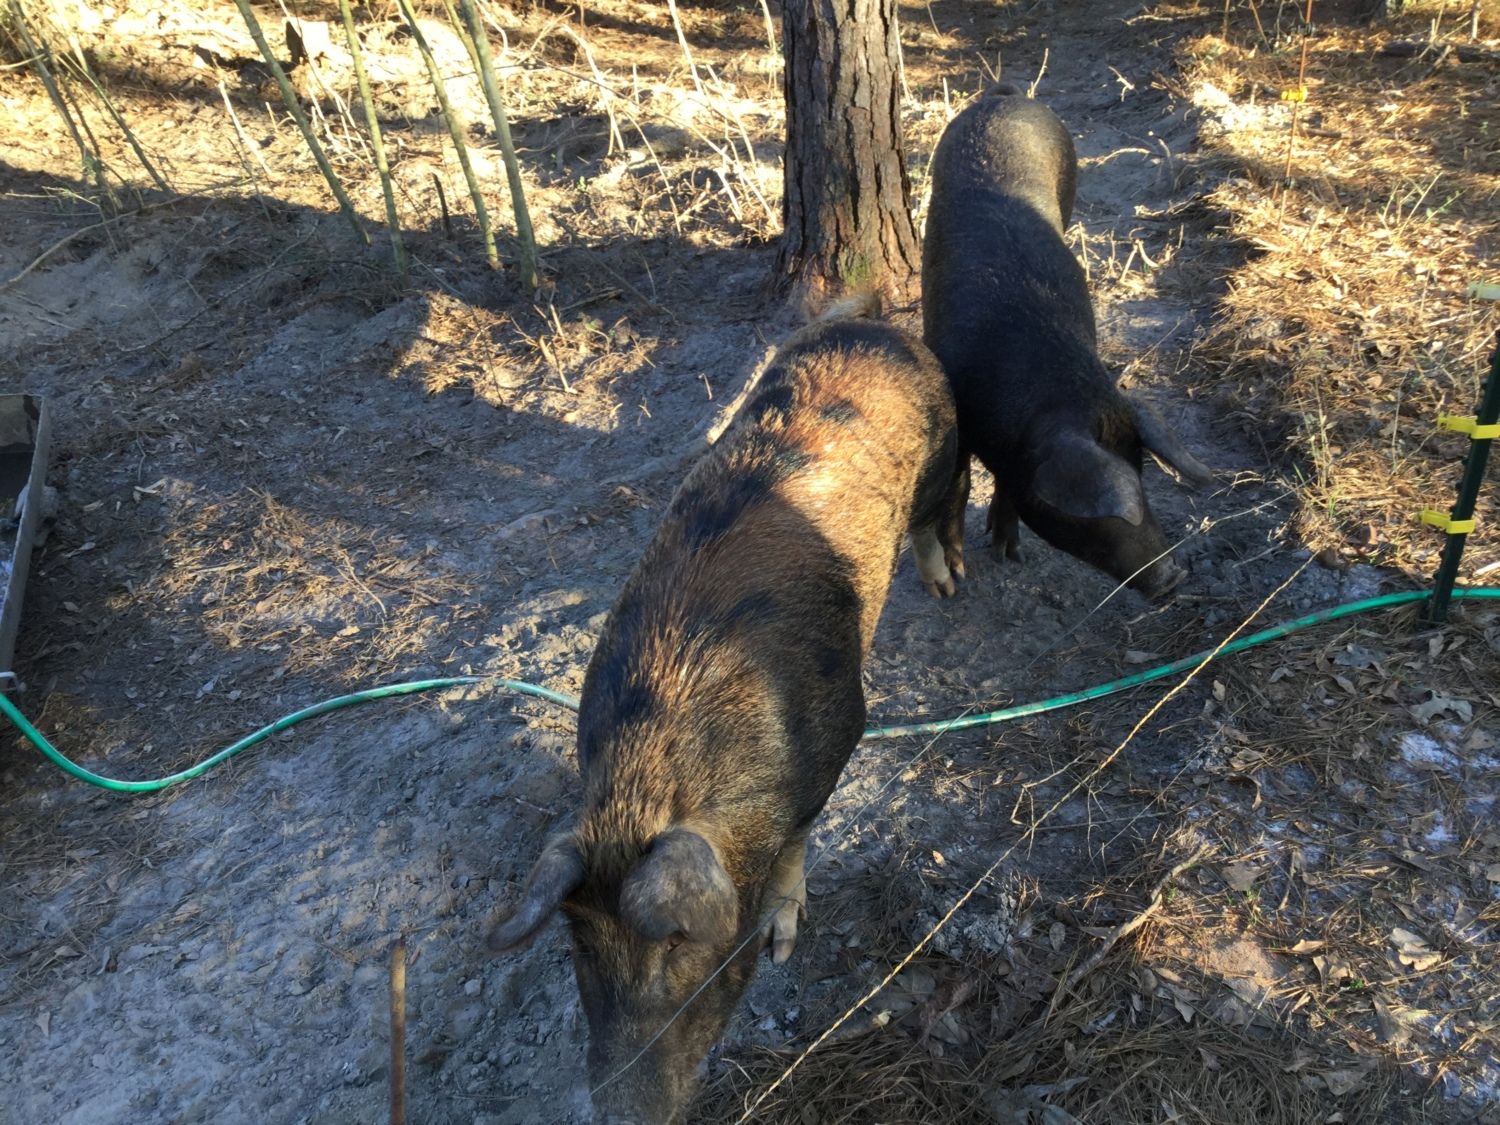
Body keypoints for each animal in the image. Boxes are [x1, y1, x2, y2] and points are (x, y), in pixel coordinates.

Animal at [486, 303, 961, 1124]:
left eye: (677, 943)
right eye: (579, 942)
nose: (622, 1112)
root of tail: (874, 327)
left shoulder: (841, 733)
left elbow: (799, 845)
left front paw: (780, 945)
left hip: (944, 453)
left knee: (937, 516)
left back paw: (946, 591)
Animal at [922, 82, 1213, 598]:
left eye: (1143, 474)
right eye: (1088, 515)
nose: (1172, 576)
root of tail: (1008, 97)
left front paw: (1009, 553)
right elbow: (958, 485)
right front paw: (958, 574)